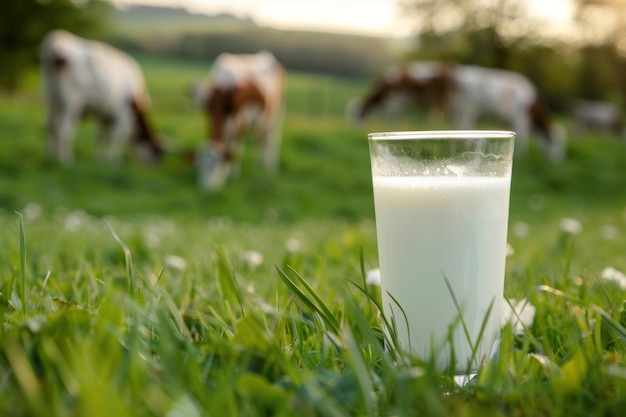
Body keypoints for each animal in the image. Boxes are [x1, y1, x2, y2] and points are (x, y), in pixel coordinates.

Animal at [39, 29, 163, 164]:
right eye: (156, 155)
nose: (155, 167)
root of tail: (58, 38)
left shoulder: (105, 114)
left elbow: (101, 136)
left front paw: (99, 159)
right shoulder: (122, 114)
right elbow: (117, 137)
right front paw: (114, 160)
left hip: (50, 99)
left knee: (52, 127)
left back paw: (51, 156)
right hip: (71, 102)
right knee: (65, 129)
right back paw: (66, 160)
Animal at [190, 49, 286, 189]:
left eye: (216, 165)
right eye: (201, 165)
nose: (207, 189)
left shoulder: (242, 120)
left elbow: (236, 148)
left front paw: (233, 174)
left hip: (277, 112)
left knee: (272, 139)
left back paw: (270, 166)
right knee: (261, 138)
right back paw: (260, 162)